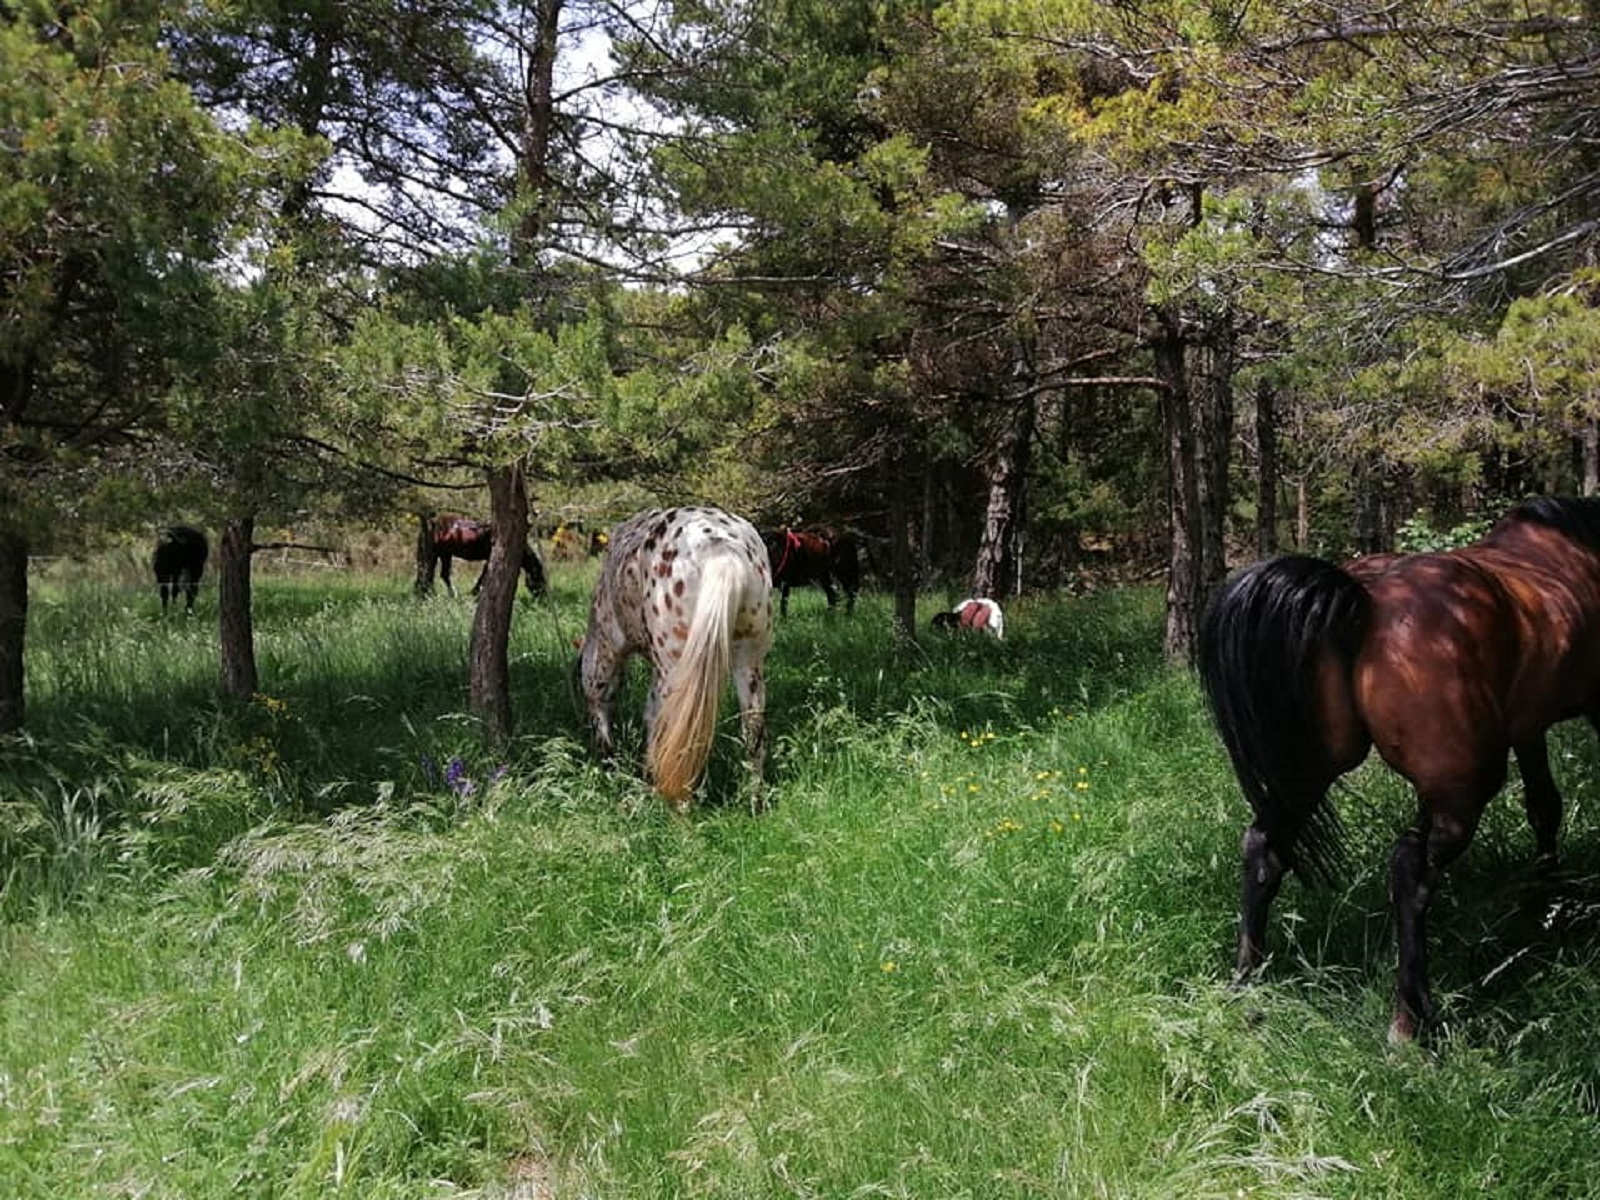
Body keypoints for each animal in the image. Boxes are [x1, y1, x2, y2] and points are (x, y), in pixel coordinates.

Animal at [416, 515, 547, 598]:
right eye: (539, 578)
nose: (543, 597)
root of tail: (432, 522)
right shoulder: (489, 560)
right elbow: (483, 577)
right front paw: (474, 593)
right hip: (436, 554)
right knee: (429, 574)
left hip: (445, 554)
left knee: (439, 575)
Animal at [582, 508, 774, 819]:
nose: (605, 762)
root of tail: (722, 549)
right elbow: (652, 717)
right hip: (750, 663)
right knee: (753, 732)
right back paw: (755, 803)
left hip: (676, 669)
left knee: (681, 737)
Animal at [1203, 499, 1600, 1043]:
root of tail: (1362, 601)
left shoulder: (1529, 727)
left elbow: (1544, 806)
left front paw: (1546, 895)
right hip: (1461, 790)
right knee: (1410, 871)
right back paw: (1410, 1021)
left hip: (1307, 773)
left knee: (1263, 845)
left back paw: (1246, 979)